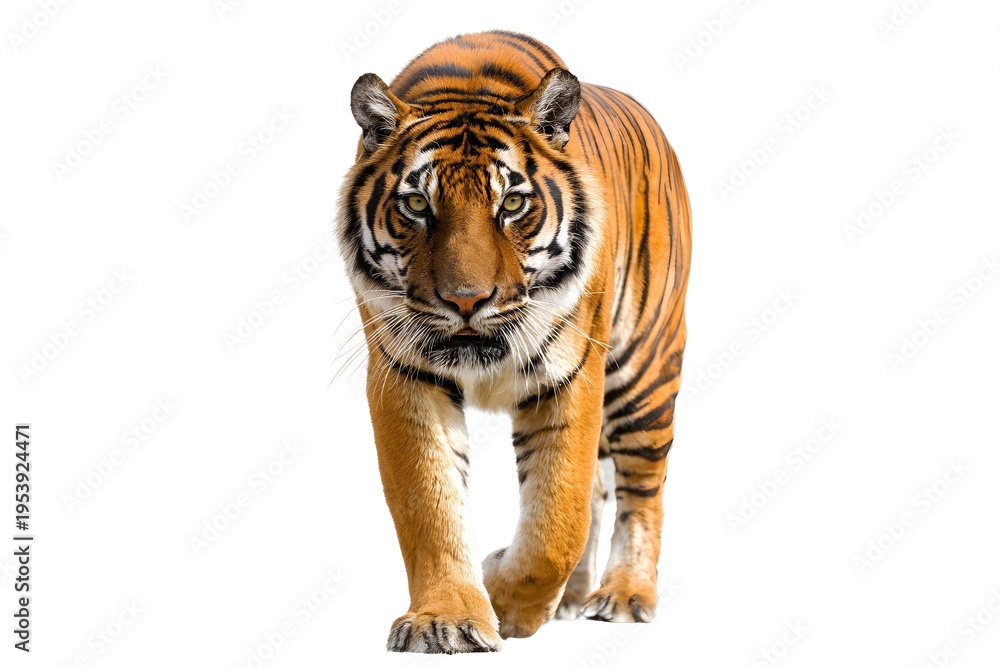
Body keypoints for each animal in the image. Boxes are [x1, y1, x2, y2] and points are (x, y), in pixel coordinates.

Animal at [337, 30, 691, 653]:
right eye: (418, 204)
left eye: (512, 204)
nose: (466, 301)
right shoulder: (405, 374)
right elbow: (429, 505)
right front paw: (446, 620)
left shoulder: (572, 373)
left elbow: (557, 519)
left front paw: (505, 600)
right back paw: (573, 600)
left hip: (646, 371)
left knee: (642, 488)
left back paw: (624, 596)